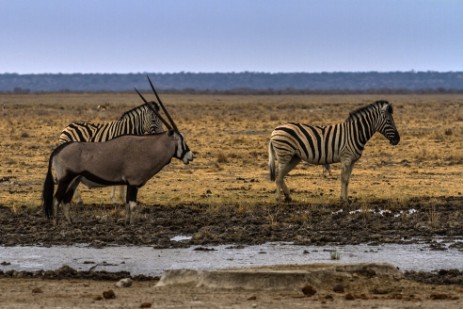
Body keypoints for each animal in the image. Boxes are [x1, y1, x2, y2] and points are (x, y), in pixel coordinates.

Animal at [270, 100, 400, 203]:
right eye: (389, 120)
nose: (397, 139)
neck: (355, 133)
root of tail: (275, 129)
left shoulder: (352, 161)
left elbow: (347, 180)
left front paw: (347, 199)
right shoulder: (346, 158)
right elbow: (343, 178)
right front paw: (343, 199)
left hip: (294, 157)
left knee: (281, 175)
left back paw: (288, 196)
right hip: (284, 154)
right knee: (279, 176)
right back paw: (278, 199)